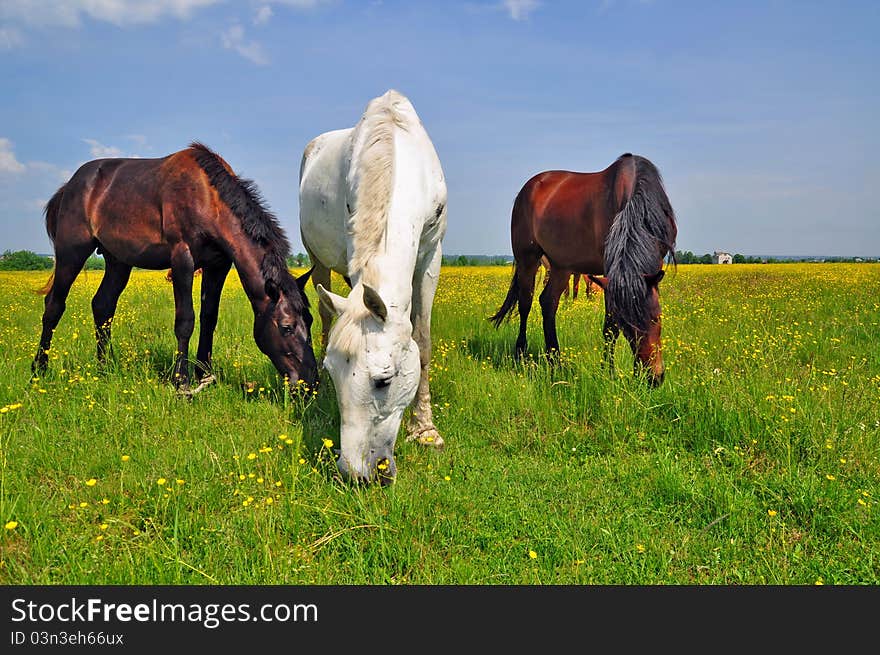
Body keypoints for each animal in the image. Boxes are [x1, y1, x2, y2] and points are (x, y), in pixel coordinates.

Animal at [32, 141, 318, 392]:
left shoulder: (218, 265)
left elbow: (209, 317)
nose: (310, 384)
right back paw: (39, 370)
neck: (207, 197)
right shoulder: (182, 259)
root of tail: (70, 185)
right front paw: (182, 381)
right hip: (71, 251)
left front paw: (204, 372)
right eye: (286, 327)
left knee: (102, 306)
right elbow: (186, 320)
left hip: (118, 261)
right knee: (54, 305)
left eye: (310, 321)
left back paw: (105, 367)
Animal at [300, 89, 446, 484]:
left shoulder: (432, 255)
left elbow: (422, 341)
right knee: (324, 316)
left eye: (384, 380)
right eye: (332, 372)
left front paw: (425, 430)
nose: (355, 474)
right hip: (316, 261)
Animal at [492, 154, 676, 386]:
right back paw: (521, 355)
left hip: (561, 266)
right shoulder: (609, 271)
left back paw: (555, 361)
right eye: (627, 325)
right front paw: (608, 372)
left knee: (548, 302)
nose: (652, 378)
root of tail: (527, 189)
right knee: (525, 304)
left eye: (656, 318)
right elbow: (610, 327)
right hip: (528, 259)